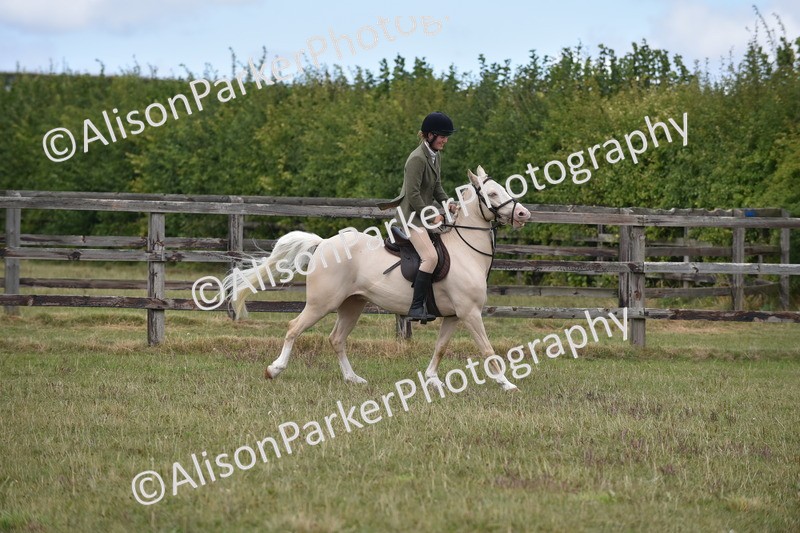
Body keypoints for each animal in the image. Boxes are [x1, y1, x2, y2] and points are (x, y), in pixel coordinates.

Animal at [223, 166, 532, 391]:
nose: (523, 213)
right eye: (492, 194)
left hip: (352, 304)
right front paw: (507, 384)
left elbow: (441, 348)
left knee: (336, 339)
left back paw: (353, 379)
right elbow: (488, 350)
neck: (465, 251)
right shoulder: (470, 313)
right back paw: (274, 369)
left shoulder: (455, 316)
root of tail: (323, 243)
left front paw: (432, 379)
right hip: (322, 303)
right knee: (293, 328)